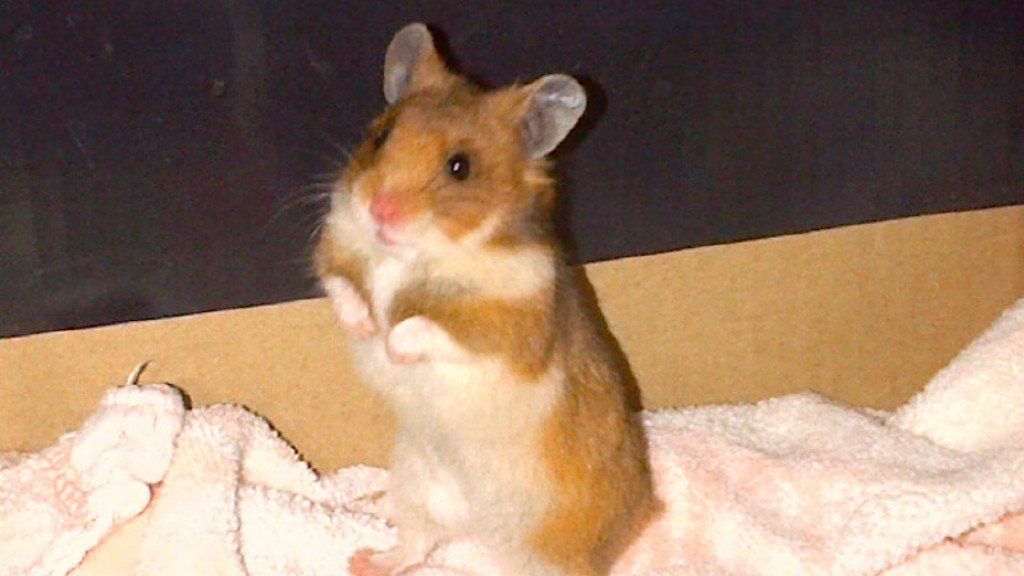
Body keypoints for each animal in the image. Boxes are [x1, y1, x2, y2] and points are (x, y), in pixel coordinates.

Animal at [311, 23, 659, 573]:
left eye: (460, 167)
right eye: (382, 135)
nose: (380, 210)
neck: (410, 253)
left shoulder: (506, 333)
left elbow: (426, 328)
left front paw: (390, 346)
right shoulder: (335, 246)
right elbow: (342, 286)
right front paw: (365, 325)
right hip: (418, 480)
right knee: (417, 543)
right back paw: (363, 549)